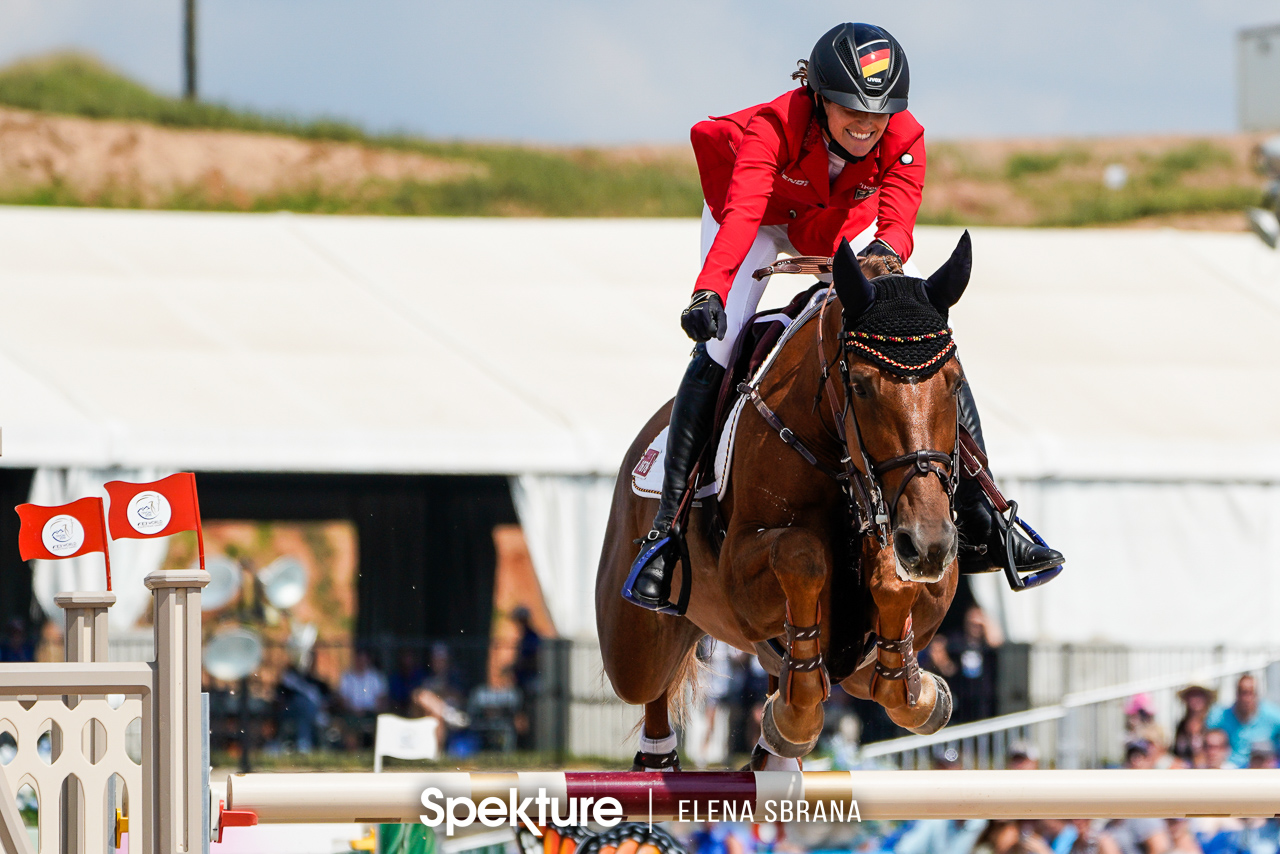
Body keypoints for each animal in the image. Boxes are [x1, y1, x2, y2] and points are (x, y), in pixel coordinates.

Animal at [593, 234, 972, 768]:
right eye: (860, 386)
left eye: (956, 384)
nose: (927, 543)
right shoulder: (739, 576)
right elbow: (801, 553)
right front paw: (798, 715)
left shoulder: (925, 597)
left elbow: (894, 596)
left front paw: (919, 690)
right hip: (633, 648)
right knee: (649, 688)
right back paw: (660, 756)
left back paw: (771, 750)